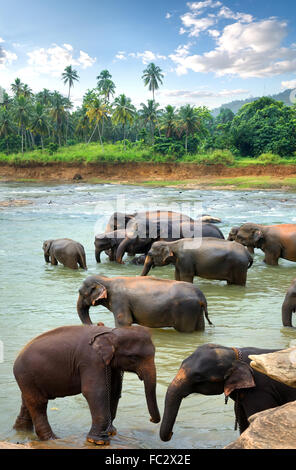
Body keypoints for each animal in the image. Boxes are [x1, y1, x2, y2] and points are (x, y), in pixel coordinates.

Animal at [13, 324, 162, 444]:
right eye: (133, 357)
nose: (150, 419)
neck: (110, 332)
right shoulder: (91, 360)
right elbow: (95, 391)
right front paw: (98, 441)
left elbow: (114, 391)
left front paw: (111, 432)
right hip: (26, 375)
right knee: (39, 403)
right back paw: (53, 439)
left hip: (28, 379)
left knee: (27, 401)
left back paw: (21, 431)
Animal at [76, 274, 210, 332]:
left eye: (81, 292)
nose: (98, 323)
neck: (107, 280)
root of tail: (201, 296)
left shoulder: (119, 300)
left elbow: (124, 322)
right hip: (196, 311)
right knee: (200, 328)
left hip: (186, 311)